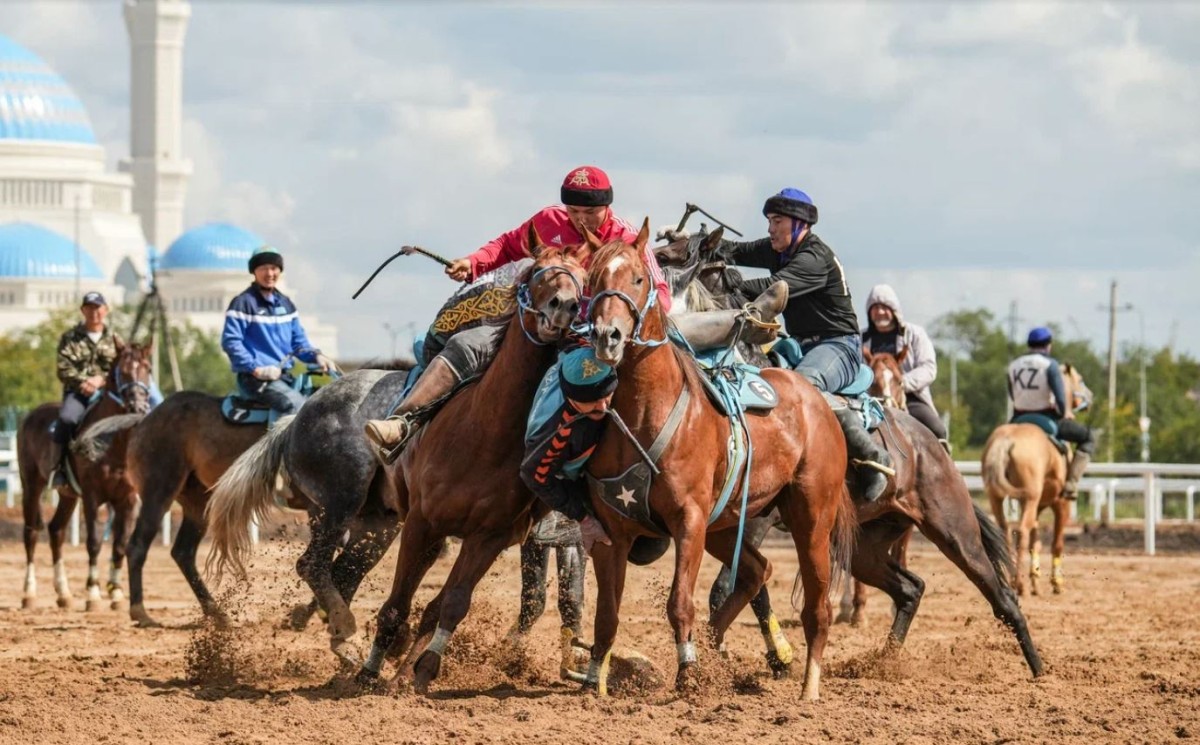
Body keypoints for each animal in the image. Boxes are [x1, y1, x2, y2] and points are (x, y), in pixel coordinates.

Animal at [18, 343, 153, 609]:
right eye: (122, 371)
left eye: (148, 369)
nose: (138, 407)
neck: (113, 443)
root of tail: (29, 416)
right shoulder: (92, 497)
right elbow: (94, 542)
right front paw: (93, 594)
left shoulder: (128, 500)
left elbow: (120, 545)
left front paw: (117, 593)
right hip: (31, 486)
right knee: (31, 534)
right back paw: (29, 594)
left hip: (68, 496)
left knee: (56, 531)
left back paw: (64, 594)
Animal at [204, 367, 410, 657]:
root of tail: (294, 422)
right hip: (343, 498)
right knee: (314, 565)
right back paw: (342, 627)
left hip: (378, 522)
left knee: (343, 570)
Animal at [350, 238, 590, 691]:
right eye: (539, 271)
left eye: (584, 282)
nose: (565, 306)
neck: (486, 434)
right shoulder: (421, 521)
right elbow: (396, 604)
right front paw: (368, 672)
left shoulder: (489, 537)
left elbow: (454, 604)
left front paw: (425, 670)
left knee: (434, 604)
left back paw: (405, 670)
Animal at [585, 223, 859, 700]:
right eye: (594, 278)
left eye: (638, 278)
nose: (608, 336)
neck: (649, 410)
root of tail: (818, 401)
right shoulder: (612, 531)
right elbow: (607, 614)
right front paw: (593, 683)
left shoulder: (689, 521)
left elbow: (679, 602)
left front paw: (688, 675)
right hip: (727, 526)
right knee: (757, 571)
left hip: (810, 519)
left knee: (817, 608)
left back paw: (808, 688)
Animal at [984, 362, 1089, 595]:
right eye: (1079, 379)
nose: (1088, 397)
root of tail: (1007, 440)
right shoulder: (1060, 504)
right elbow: (1056, 542)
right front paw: (1056, 583)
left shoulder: (1037, 506)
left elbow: (1036, 541)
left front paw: (1036, 580)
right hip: (1030, 498)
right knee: (1021, 531)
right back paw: (1019, 584)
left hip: (997, 497)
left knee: (1005, 530)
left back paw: (1011, 579)